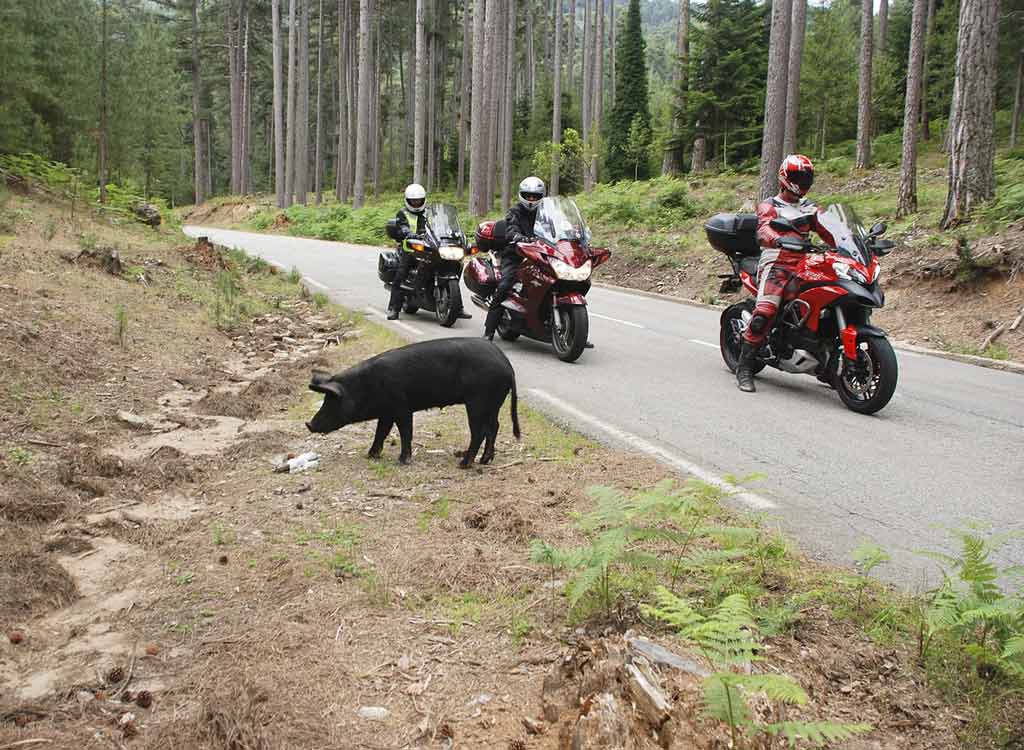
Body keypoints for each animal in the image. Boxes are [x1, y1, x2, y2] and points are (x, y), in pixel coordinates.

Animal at [303, 338, 520, 465]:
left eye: (331, 402)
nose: (309, 424)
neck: (365, 386)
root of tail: (507, 366)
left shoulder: (402, 407)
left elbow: (405, 432)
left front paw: (403, 461)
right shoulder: (387, 412)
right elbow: (381, 432)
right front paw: (371, 455)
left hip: (478, 401)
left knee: (480, 431)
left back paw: (464, 464)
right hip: (494, 402)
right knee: (494, 427)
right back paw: (485, 461)